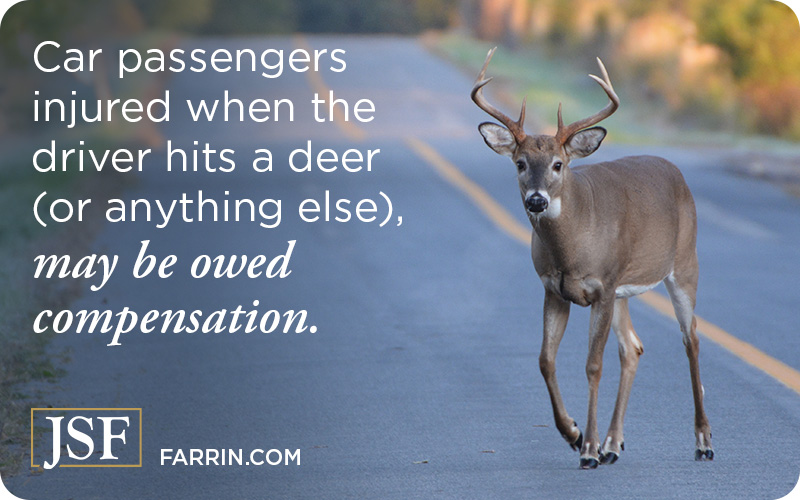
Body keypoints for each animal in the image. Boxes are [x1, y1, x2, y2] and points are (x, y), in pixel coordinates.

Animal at [468, 47, 712, 468]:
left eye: (558, 164)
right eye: (520, 163)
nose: (536, 200)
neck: (573, 246)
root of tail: (674, 170)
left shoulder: (602, 285)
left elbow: (593, 365)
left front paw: (588, 449)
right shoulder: (556, 289)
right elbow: (545, 360)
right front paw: (574, 433)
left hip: (683, 265)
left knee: (691, 338)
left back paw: (702, 442)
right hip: (624, 291)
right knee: (633, 347)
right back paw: (614, 444)